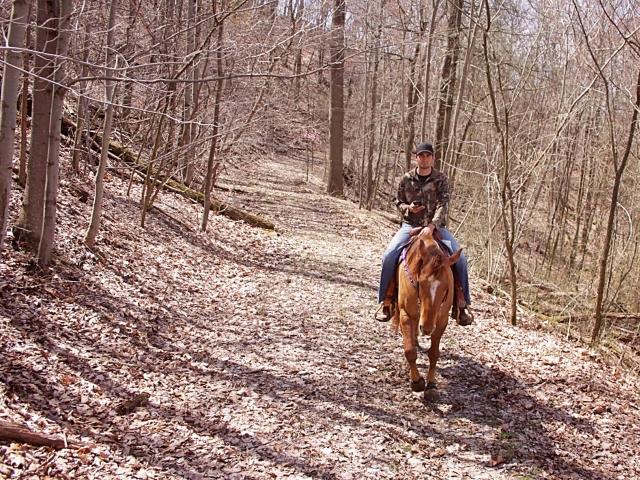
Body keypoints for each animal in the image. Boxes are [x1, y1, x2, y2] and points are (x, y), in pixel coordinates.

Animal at [390, 227, 460, 400]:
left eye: (446, 288)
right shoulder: (406, 314)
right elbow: (409, 351)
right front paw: (417, 382)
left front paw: (432, 385)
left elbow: (434, 353)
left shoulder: (441, 321)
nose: (427, 328)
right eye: (420, 283)